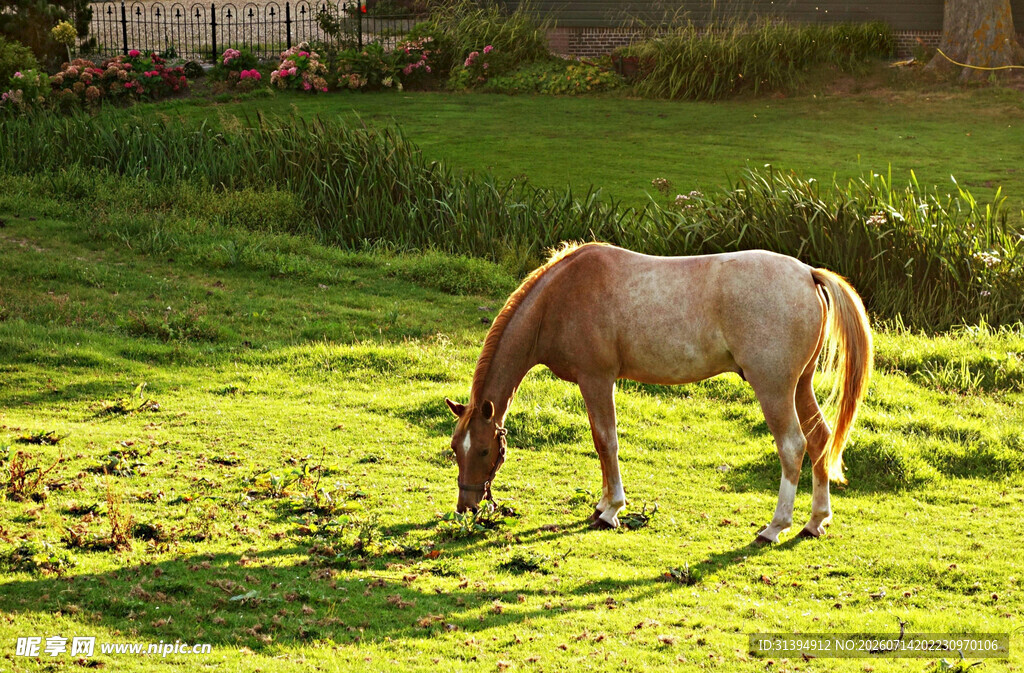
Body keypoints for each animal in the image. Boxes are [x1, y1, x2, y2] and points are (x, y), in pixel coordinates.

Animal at [446, 242, 872, 544]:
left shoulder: (596, 379)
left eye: (483, 450)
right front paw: (603, 504)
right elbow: (602, 443)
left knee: (792, 447)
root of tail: (807, 274)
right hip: (800, 385)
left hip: (774, 388)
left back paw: (775, 526)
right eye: (455, 448)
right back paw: (815, 521)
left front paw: (611, 510)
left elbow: (606, 441)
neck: (561, 298)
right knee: (820, 440)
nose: (466, 506)